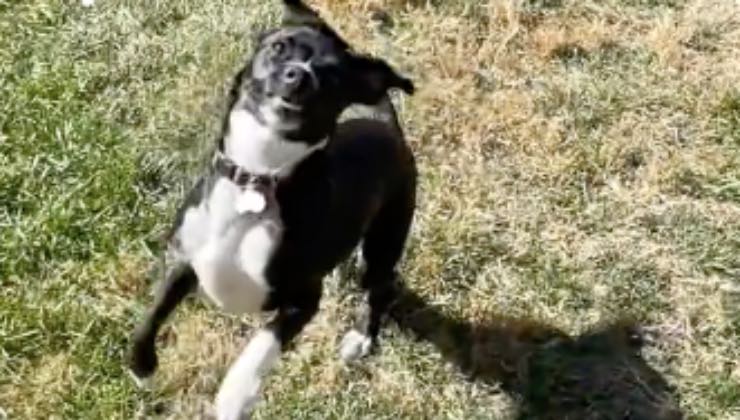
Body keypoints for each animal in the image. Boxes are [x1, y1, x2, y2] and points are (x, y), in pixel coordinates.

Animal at [127, 1, 416, 418]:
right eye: (280, 47)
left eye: (332, 77)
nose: (298, 75)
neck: (258, 174)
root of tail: (388, 128)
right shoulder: (182, 257)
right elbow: (154, 310)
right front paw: (141, 364)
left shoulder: (303, 300)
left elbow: (263, 344)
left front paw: (236, 394)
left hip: (385, 240)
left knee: (379, 287)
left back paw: (362, 336)